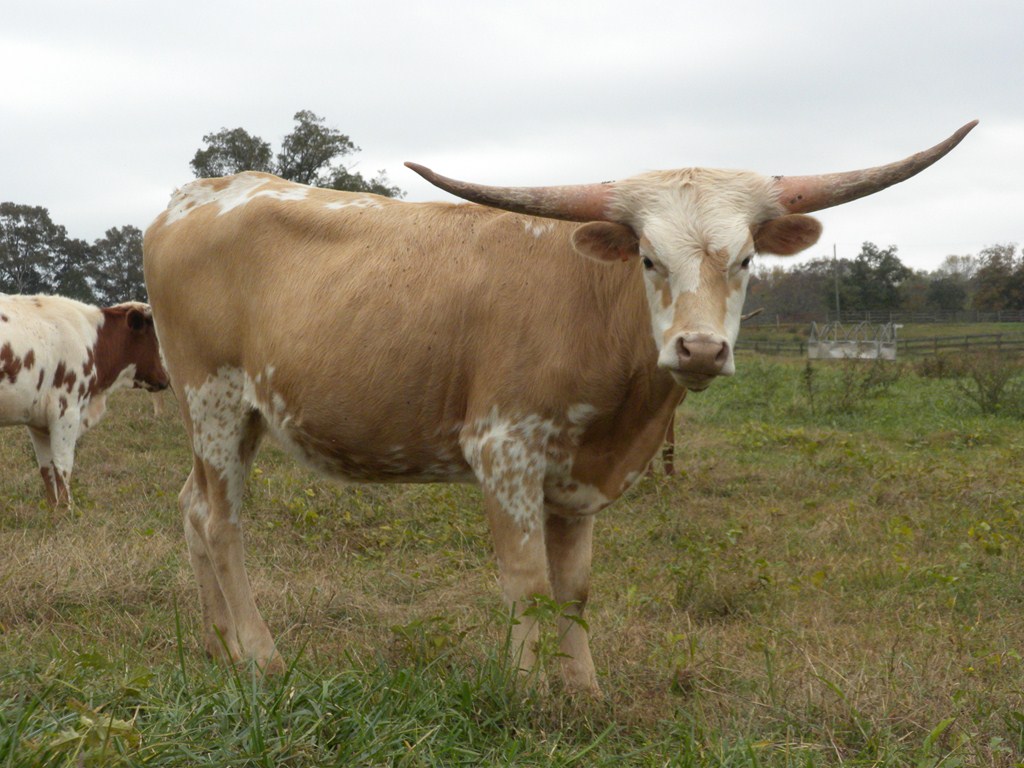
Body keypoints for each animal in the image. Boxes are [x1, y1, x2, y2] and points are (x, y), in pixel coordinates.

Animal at [0, 295, 169, 506]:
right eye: (154, 336)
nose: (167, 378)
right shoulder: (66, 413)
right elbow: (62, 468)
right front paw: (67, 509)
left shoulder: (37, 423)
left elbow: (47, 471)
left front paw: (53, 508)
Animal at [143, 121, 975, 694]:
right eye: (649, 258)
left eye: (744, 260)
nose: (700, 349)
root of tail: (198, 197)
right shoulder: (503, 451)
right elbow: (528, 581)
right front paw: (522, 692)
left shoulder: (581, 474)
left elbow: (573, 590)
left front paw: (584, 693)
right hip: (213, 398)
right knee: (221, 523)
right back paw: (261, 656)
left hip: (238, 416)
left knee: (190, 505)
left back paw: (219, 647)